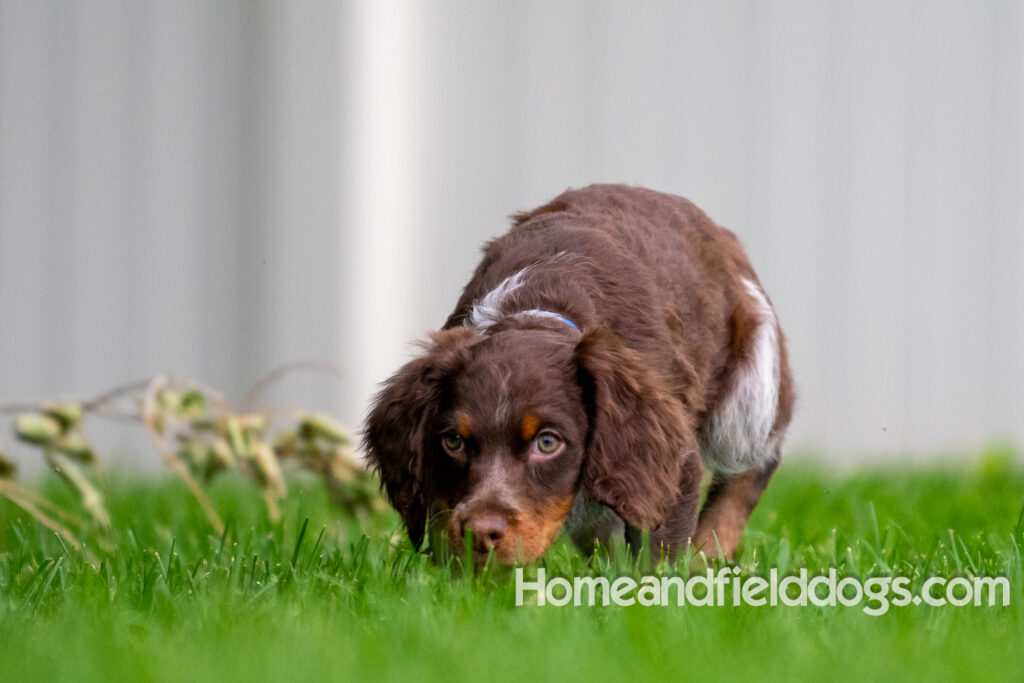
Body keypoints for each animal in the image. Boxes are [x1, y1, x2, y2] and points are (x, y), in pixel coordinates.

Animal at [364, 183, 794, 565]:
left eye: (548, 443)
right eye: (453, 441)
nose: (481, 534)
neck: (537, 304)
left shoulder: (672, 464)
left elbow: (658, 557)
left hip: (750, 376)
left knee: (753, 464)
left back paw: (708, 557)